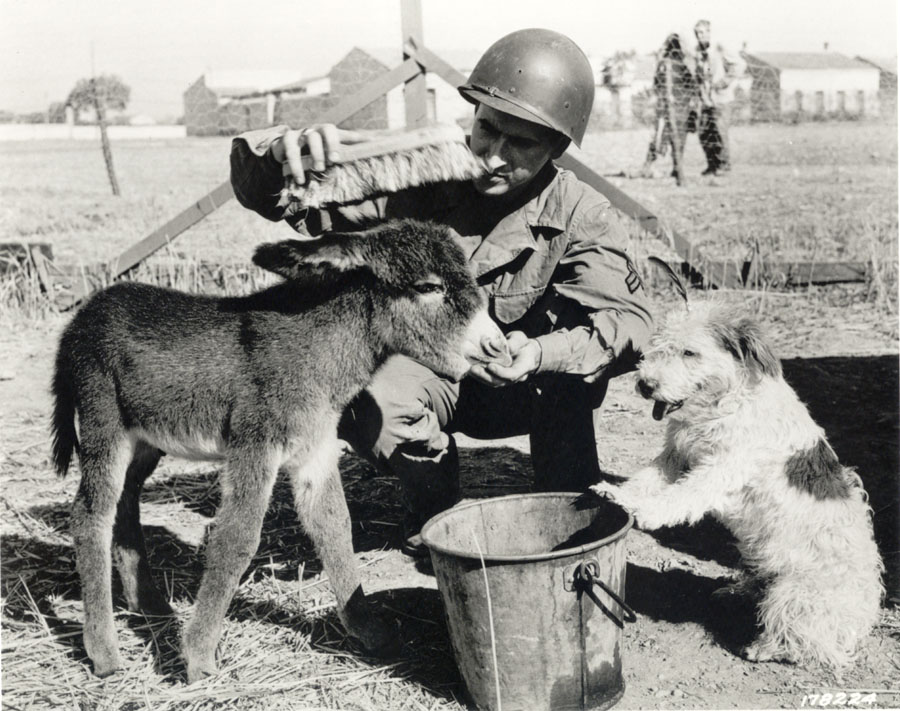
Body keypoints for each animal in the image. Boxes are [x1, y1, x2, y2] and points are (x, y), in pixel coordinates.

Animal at [52, 220, 510, 680]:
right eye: (428, 287)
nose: (499, 347)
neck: (316, 350)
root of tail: (82, 317)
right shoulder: (255, 445)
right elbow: (236, 539)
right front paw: (199, 657)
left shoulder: (316, 448)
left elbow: (334, 527)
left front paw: (369, 631)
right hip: (104, 422)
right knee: (90, 515)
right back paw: (104, 652)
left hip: (145, 440)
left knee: (125, 502)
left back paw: (147, 605)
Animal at [596, 304, 884, 672]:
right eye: (659, 347)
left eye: (690, 352)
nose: (646, 385)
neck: (725, 403)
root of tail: (860, 620)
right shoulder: (677, 457)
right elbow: (645, 479)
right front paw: (617, 493)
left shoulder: (721, 468)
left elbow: (682, 495)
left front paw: (644, 510)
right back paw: (738, 592)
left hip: (795, 594)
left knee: (806, 641)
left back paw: (767, 647)